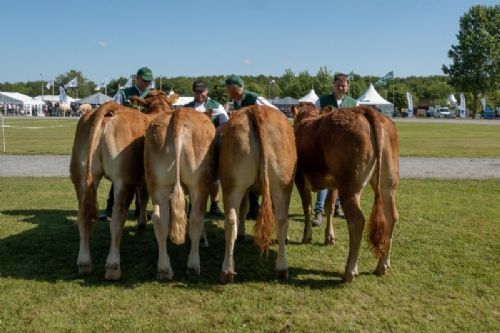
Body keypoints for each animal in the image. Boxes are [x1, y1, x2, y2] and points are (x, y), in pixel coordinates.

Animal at [69, 89, 179, 278]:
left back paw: (84, 263)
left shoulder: (142, 179)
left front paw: (142, 222)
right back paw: (113, 267)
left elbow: (142, 197)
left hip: (81, 176)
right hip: (122, 181)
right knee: (117, 221)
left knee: (83, 216)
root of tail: (109, 109)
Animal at [143, 105, 217, 278]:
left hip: (158, 184)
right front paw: (204, 240)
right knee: (196, 218)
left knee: (160, 219)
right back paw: (193, 266)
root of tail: (179, 112)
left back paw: (164, 270)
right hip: (199, 184)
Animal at [219, 105, 296, 282]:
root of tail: (256, 109)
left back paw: (227, 270)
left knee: (231, 220)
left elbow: (244, 208)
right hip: (281, 186)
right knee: (281, 219)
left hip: (235, 183)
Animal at [292, 102, 400, 282]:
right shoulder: (333, 184)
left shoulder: (300, 179)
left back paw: (350, 271)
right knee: (391, 216)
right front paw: (329, 237)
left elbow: (307, 207)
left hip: (349, 186)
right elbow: (329, 208)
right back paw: (382, 266)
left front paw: (307, 236)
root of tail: (365, 110)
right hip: (387, 183)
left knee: (358, 221)